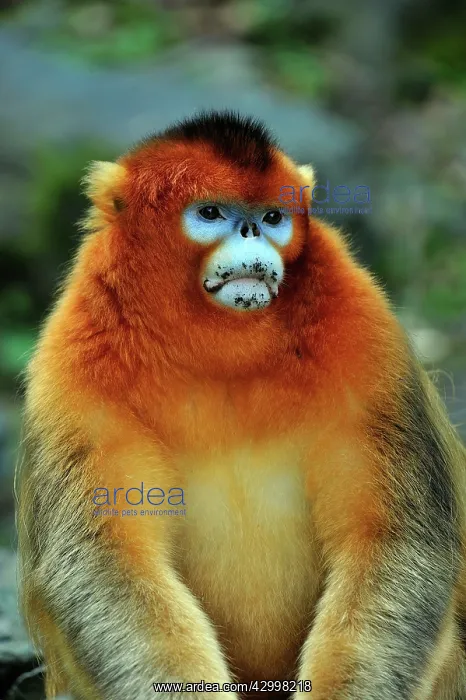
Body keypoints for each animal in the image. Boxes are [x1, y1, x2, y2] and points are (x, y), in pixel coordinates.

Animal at [15, 110, 466, 700]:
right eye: (211, 213)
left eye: (272, 216)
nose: (253, 231)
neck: (221, 349)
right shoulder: (73, 361)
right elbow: (104, 561)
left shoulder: (366, 332)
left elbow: (397, 544)